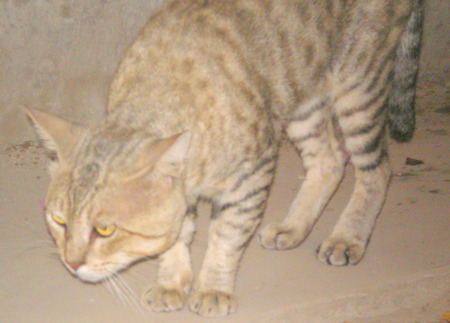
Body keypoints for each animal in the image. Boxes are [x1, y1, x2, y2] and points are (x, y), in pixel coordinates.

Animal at [26, 0, 424, 318]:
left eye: (105, 230)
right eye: (59, 220)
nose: (71, 263)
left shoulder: (251, 178)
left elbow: (226, 236)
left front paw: (214, 288)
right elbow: (177, 237)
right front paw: (172, 282)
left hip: (359, 85)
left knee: (376, 170)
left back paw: (347, 238)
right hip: (301, 98)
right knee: (329, 159)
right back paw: (293, 227)